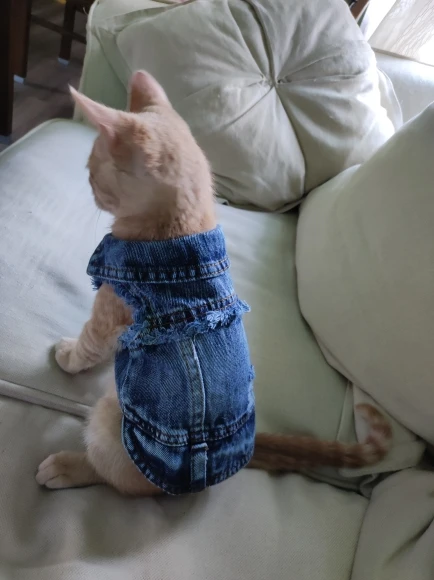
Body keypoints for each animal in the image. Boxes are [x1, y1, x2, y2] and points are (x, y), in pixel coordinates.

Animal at [36, 71, 392, 495]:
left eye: (93, 171)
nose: (89, 187)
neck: (179, 230)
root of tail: (238, 456)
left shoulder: (111, 308)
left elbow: (90, 342)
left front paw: (68, 356)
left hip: (110, 422)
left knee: (112, 474)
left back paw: (67, 467)